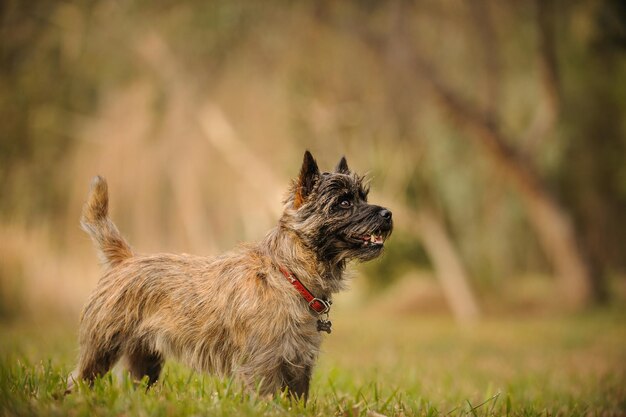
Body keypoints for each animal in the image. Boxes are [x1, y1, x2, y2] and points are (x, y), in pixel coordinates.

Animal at [70, 150, 392, 400]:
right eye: (343, 202)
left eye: (363, 196)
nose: (388, 213)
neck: (289, 274)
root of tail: (126, 260)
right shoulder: (262, 365)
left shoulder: (299, 366)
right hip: (102, 347)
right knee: (79, 377)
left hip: (144, 359)